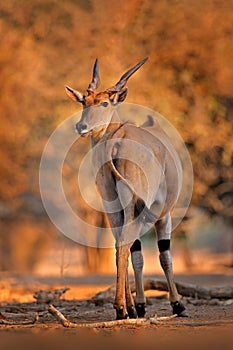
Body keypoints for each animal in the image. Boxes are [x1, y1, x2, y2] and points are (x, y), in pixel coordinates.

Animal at [65, 58, 187, 320]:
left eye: (103, 102)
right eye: (84, 102)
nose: (81, 126)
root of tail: (117, 140)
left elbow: (137, 253)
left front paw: (138, 306)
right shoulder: (163, 215)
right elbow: (164, 256)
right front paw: (177, 305)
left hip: (113, 206)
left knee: (121, 245)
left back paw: (127, 308)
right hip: (137, 207)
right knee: (124, 246)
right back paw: (122, 307)